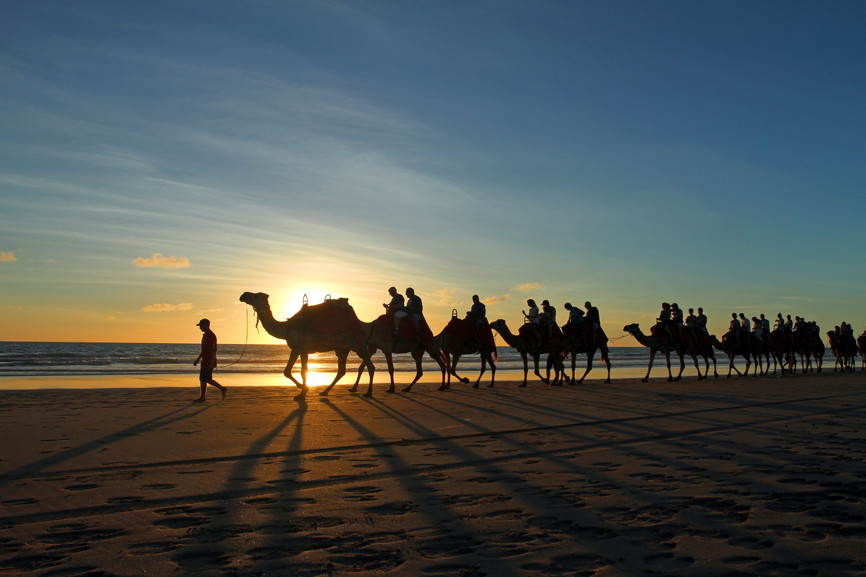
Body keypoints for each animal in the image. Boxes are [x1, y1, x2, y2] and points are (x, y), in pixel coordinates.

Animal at [240, 290, 372, 398]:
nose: (243, 295)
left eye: (256, 296)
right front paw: (304, 388)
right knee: (341, 371)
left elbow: (304, 371)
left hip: (357, 344)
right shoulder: (295, 349)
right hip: (342, 348)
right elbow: (287, 371)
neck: (287, 327)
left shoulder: (304, 348)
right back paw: (324, 391)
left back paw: (368, 392)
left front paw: (302, 393)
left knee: (370, 366)